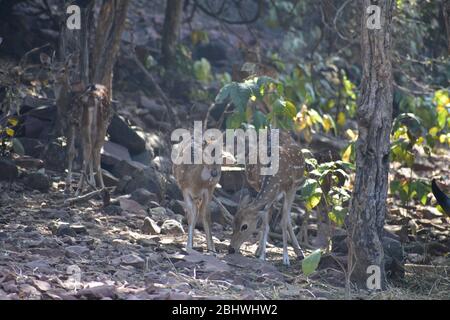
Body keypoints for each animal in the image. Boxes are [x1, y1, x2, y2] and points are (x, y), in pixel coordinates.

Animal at [40, 52, 112, 194]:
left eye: (63, 70)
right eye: (49, 68)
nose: (51, 80)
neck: (65, 103)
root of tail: (96, 98)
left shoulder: (71, 122)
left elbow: (71, 152)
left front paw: (68, 185)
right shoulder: (77, 125)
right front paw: (90, 184)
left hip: (86, 122)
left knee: (89, 147)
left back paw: (78, 188)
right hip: (102, 122)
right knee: (95, 148)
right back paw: (101, 187)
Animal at [229, 131, 306, 266]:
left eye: (244, 226)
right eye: (233, 222)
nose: (231, 249)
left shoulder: (290, 188)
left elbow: (283, 221)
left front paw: (286, 258)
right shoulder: (262, 187)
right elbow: (265, 223)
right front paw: (262, 256)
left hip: (295, 187)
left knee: (287, 217)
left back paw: (300, 253)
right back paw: (259, 250)